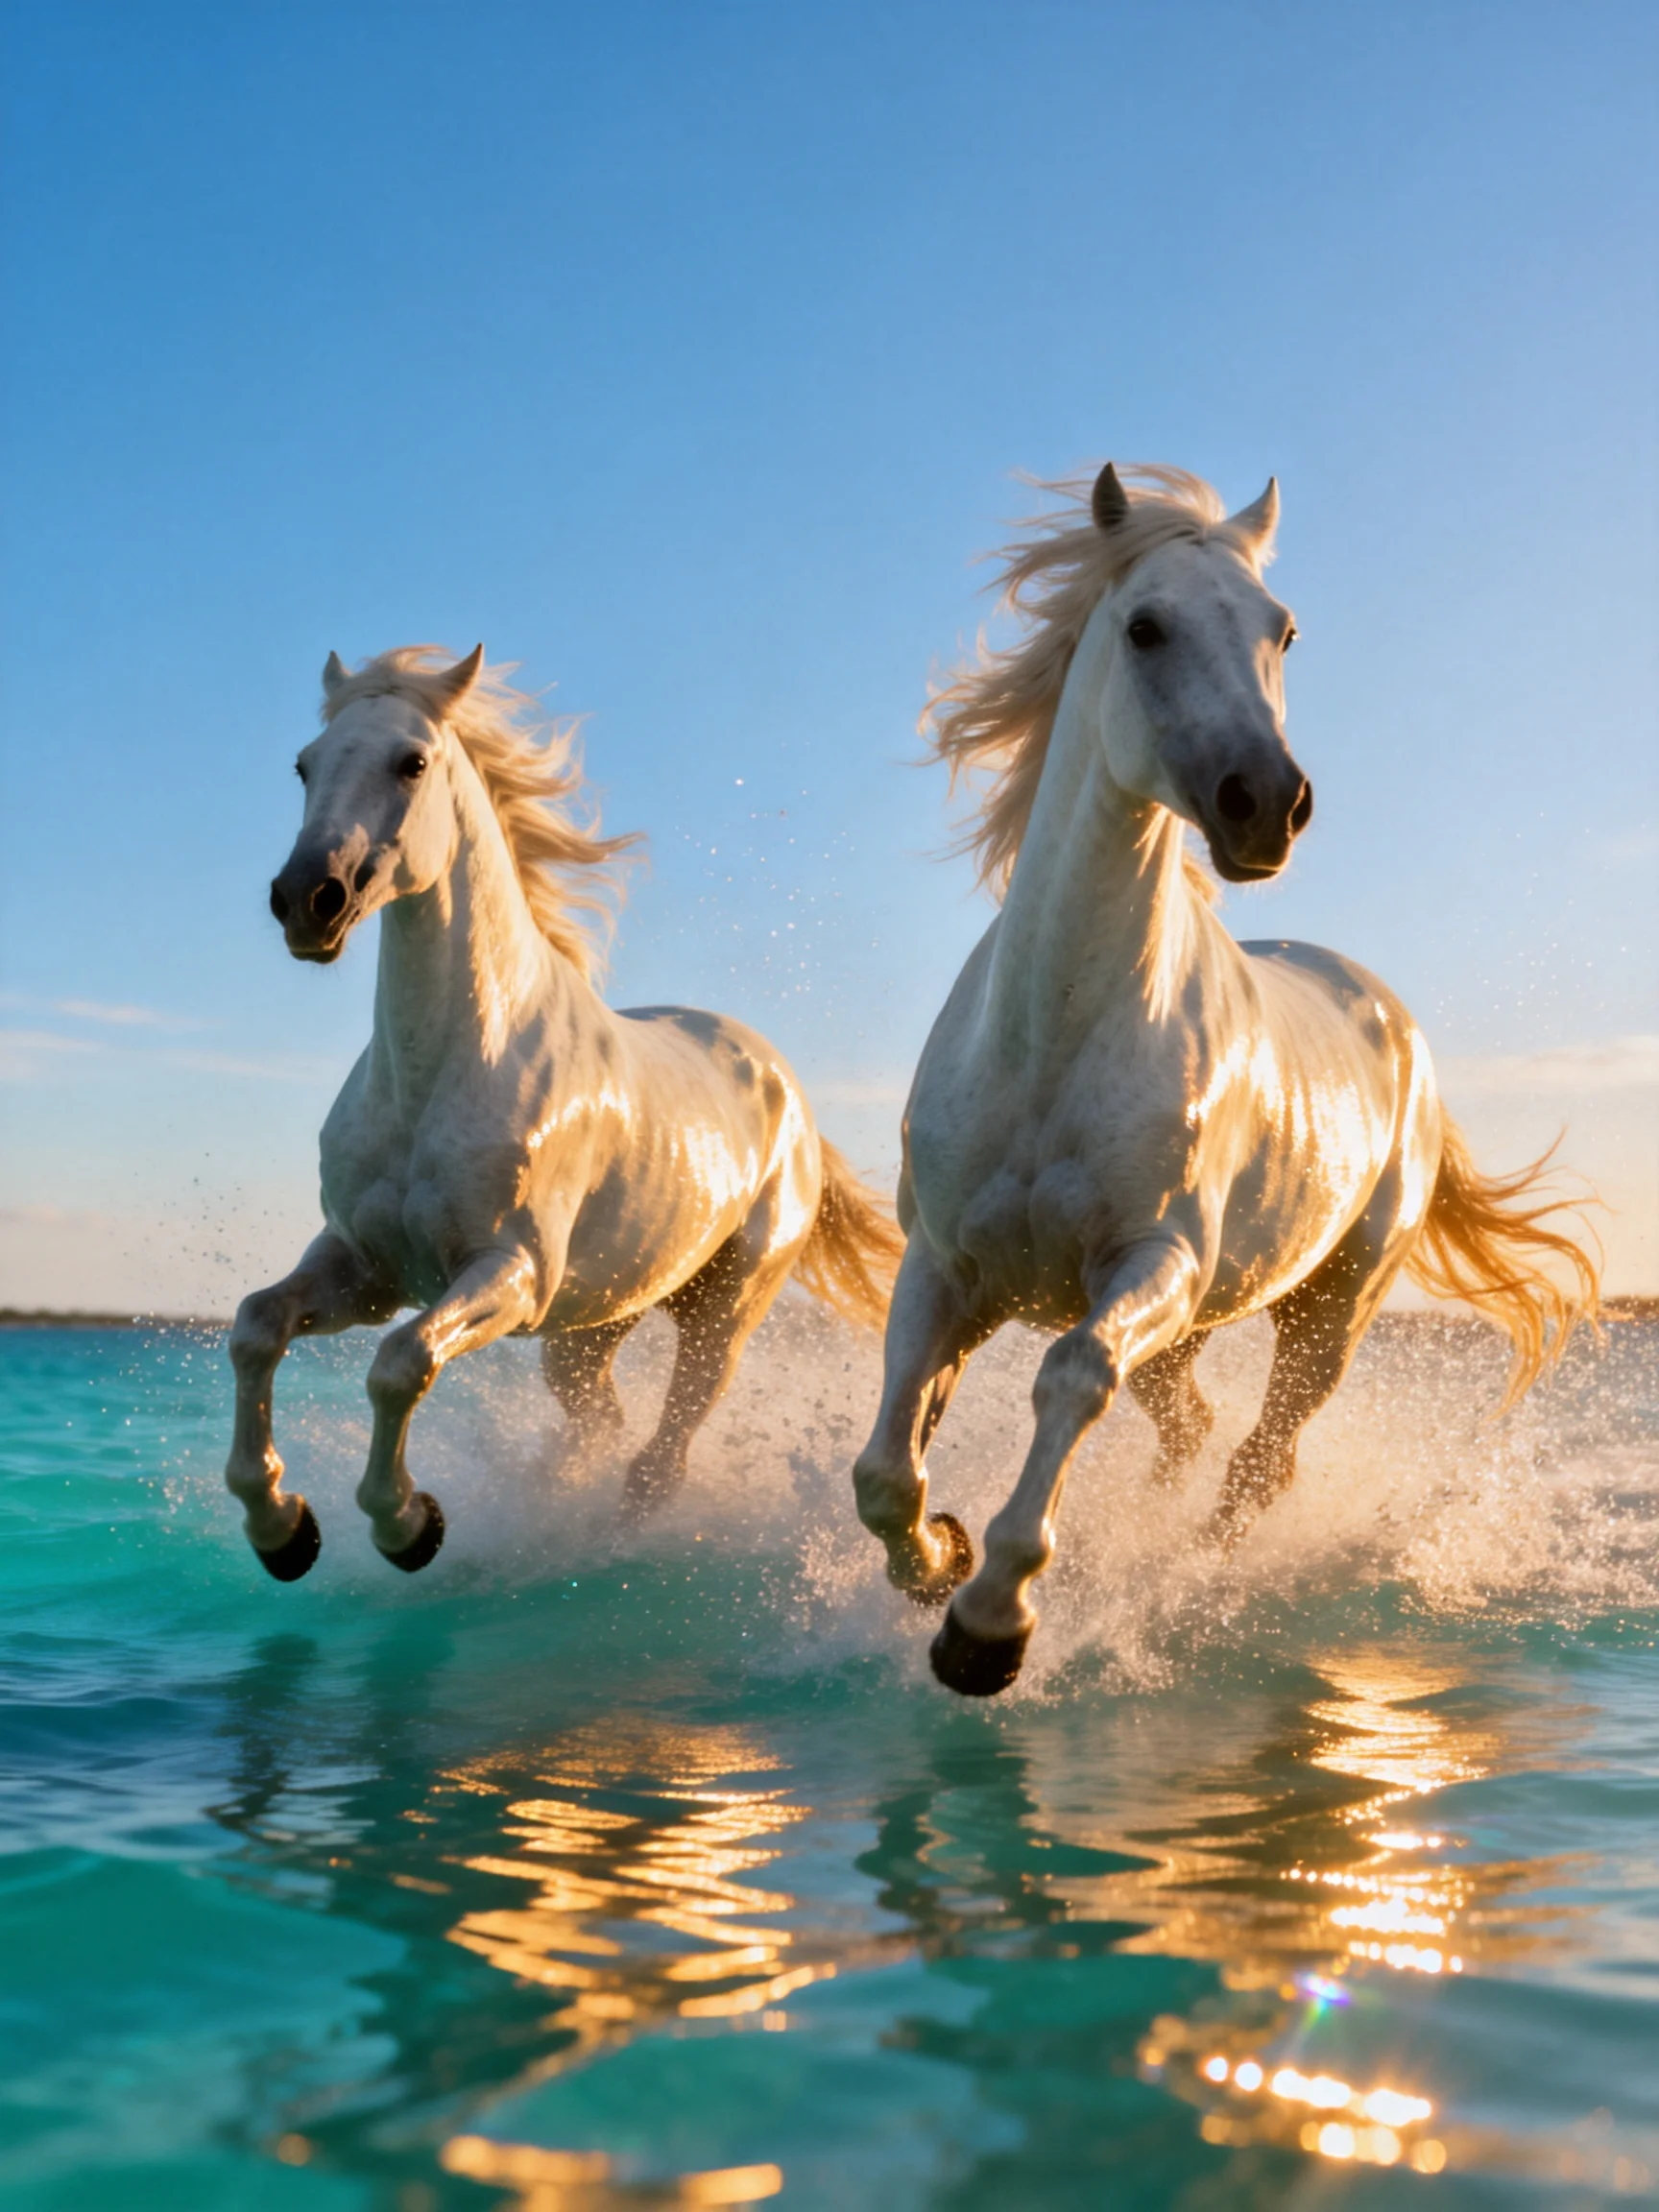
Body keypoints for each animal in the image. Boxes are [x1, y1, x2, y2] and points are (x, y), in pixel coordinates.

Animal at [225, 645, 900, 1580]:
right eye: (304, 764)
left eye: (412, 762)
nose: (307, 898)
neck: (443, 1072)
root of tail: (785, 1090)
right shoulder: (365, 1267)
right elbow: (256, 1327)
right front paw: (282, 1528)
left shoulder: (507, 1276)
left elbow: (400, 1363)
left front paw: (408, 1525)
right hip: (589, 1333)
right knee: (603, 1427)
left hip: (721, 1319)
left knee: (660, 1459)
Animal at [851, 462, 1599, 1697]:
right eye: (1145, 626)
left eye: (1283, 630)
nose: (1269, 804)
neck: (1056, 1037)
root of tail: (1389, 1018)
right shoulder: (947, 1267)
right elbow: (887, 1465)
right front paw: (934, 1560)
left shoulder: (1151, 1263)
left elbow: (1069, 1376)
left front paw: (989, 1624)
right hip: (1197, 1329)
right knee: (1195, 1432)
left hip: (1327, 1312)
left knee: (1259, 1462)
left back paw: (1193, 1578)